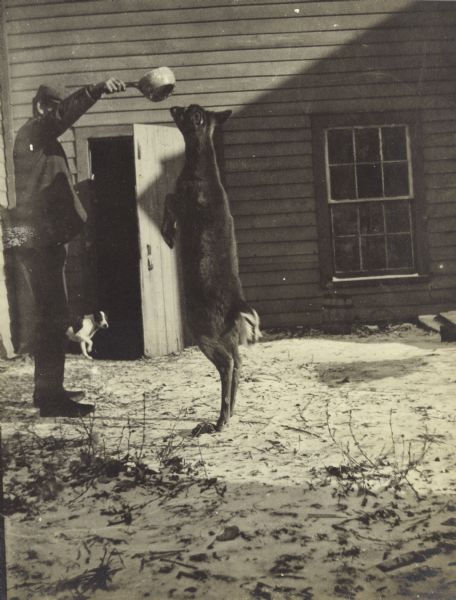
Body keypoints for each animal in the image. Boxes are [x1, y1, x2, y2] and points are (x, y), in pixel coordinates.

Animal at [161, 105, 260, 434]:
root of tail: (236, 305)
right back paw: (227, 415)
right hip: (228, 334)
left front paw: (168, 236)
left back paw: (217, 421)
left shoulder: (182, 200)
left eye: (187, 111)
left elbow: (167, 198)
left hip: (203, 328)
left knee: (226, 363)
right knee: (238, 361)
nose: (173, 106)